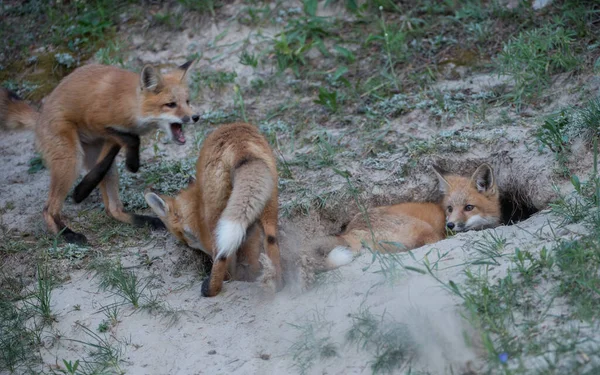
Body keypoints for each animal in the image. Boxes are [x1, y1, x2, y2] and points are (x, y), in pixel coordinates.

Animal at [1, 61, 200, 244]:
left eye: (187, 102)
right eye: (171, 104)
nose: (196, 117)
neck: (129, 104)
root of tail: (39, 117)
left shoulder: (112, 138)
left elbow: (106, 161)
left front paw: (83, 189)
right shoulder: (97, 122)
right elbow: (132, 140)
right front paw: (130, 165)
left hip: (96, 158)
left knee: (112, 209)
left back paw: (143, 220)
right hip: (71, 159)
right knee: (48, 209)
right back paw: (67, 234)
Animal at [146, 122, 284, 296]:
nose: (186, 244)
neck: (196, 208)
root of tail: (240, 144)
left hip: (217, 218)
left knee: (222, 257)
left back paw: (211, 289)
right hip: (267, 207)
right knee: (271, 242)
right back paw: (276, 284)